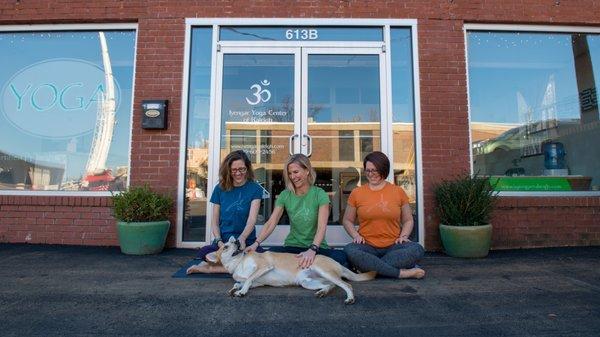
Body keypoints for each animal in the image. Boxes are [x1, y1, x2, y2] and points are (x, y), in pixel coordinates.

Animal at [206, 235, 376, 304]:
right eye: (226, 246)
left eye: (233, 243)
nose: (238, 242)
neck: (239, 263)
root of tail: (338, 263)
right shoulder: (257, 282)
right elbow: (240, 282)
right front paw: (235, 289)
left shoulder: (264, 266)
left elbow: (247, 279)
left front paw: (241, 292)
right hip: (307, 282)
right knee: (331, 285)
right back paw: (322, 292)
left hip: (323, 270)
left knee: (346, 285)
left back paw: (350, 298)